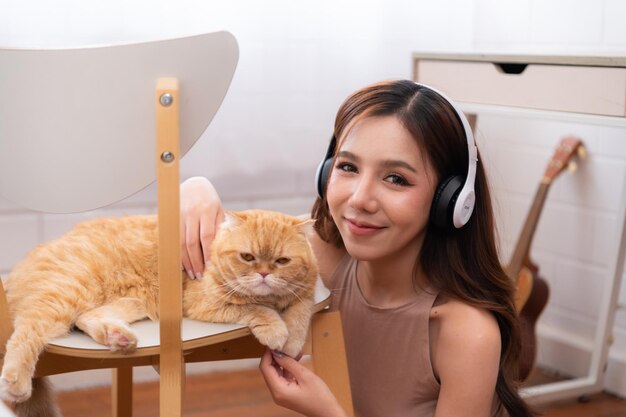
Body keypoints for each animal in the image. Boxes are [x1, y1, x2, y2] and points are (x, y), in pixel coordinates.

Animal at [0, 210, 316, 412]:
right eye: (247, 257)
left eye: (282, 260)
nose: (263, 274)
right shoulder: (206, 302)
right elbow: (257, 307)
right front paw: (276, 329)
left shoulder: (307, 290)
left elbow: (301, 310)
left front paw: (292, 341)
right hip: (65, 294)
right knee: (26, 333)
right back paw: (16, 381)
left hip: (129, 303)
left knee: (86, 318)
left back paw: (119, 338)